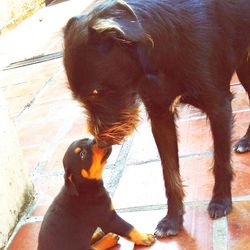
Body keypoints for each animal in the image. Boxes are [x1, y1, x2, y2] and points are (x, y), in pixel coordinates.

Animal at [63, 0, 250, 237]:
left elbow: (221, 161)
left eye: (96, 92)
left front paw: (221, 200)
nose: (101, 142)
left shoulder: (219, 107)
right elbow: (169, 174)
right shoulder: (160, 118)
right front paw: (173, 219)